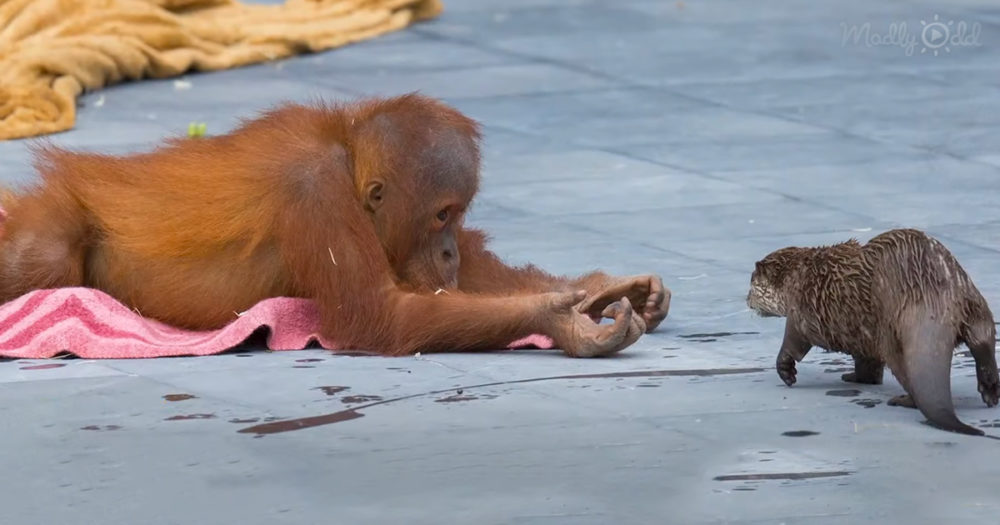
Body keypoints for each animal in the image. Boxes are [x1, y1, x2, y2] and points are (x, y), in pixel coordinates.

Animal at [746, 228, 999, 436]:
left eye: (751, 283)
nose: (746, 300)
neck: (796, 276)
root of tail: (933, 297)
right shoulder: (861, 331)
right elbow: (867, 362)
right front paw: (857, 377)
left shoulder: (801, 313)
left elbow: (793, 344)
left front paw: (787, 372)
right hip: (973, 300)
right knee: (982, 339)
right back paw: (990, 391)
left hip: (891, 333)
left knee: (907, 373)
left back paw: (903, 400)